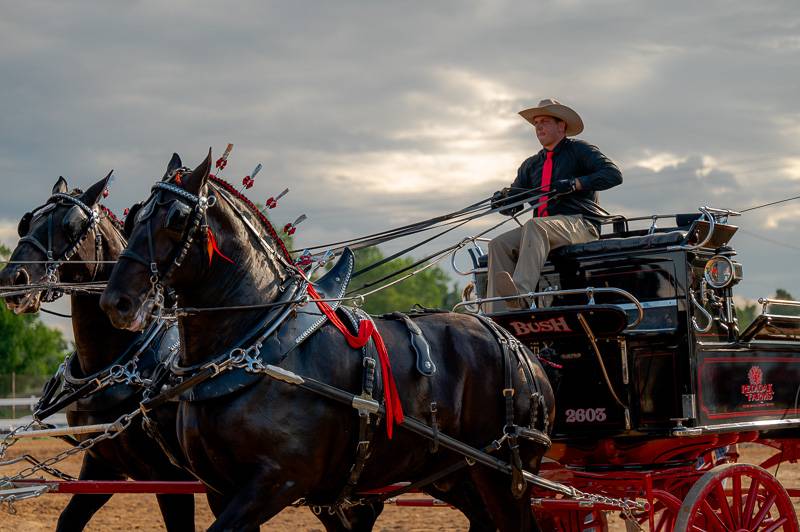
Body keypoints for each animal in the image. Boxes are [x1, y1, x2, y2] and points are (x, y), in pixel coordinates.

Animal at [0, 176, 195, 532]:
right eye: (27, 222)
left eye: (71, 226)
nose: (12, 280)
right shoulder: (103, 464)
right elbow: (69, 519)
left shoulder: (172, 478)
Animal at [100, 152, 556, 528]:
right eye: (135, 216)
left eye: (177, 219)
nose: (115, 301)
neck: (254, 346)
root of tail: (521, 351)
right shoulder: (221, 489)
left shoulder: (277, 482)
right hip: (457, 474)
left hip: (503, 474)